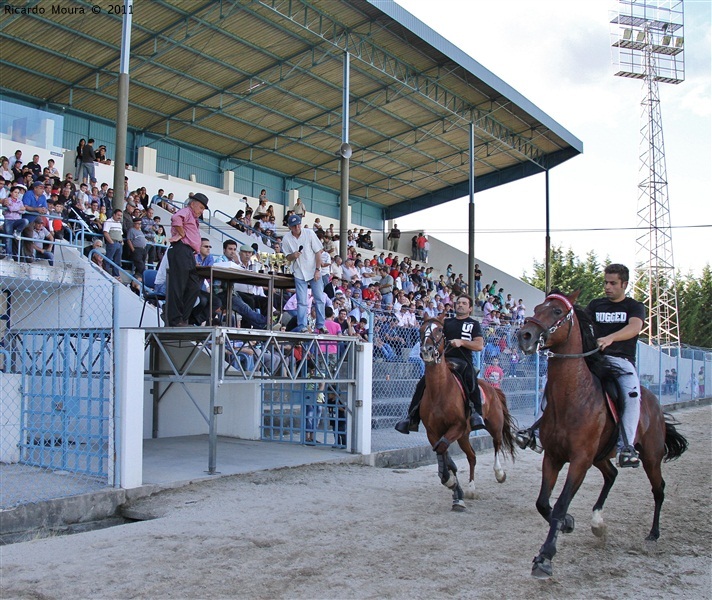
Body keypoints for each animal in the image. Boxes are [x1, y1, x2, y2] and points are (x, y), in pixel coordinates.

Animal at [420, 316, 516, 508]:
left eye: (439, 330)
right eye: (421, 329)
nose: (427, 350)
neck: (439, 390)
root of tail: (493, 388)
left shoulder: (457, 426)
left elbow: (442, 448)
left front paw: (451, 482)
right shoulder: (432, 432)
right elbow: (441, 451)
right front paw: (453, 485)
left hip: (494, 425)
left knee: (496, 443)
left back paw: (499, 474)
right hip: (464, 436)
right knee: (472, 457)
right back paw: (471, 489)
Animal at [520, 292, 688, 580]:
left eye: (556, 311)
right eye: (537, 307)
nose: (525, 335)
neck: (573, 397)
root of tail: (654, 403)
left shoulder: (579, 461)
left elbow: (561, 504)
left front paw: (545, 557)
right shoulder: (553, 457)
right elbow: (543, 503)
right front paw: (567, 524)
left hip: (650, 457)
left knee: (659, 489)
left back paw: (653, 534)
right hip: (600, 457)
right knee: (612, 475)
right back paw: (598, 522)